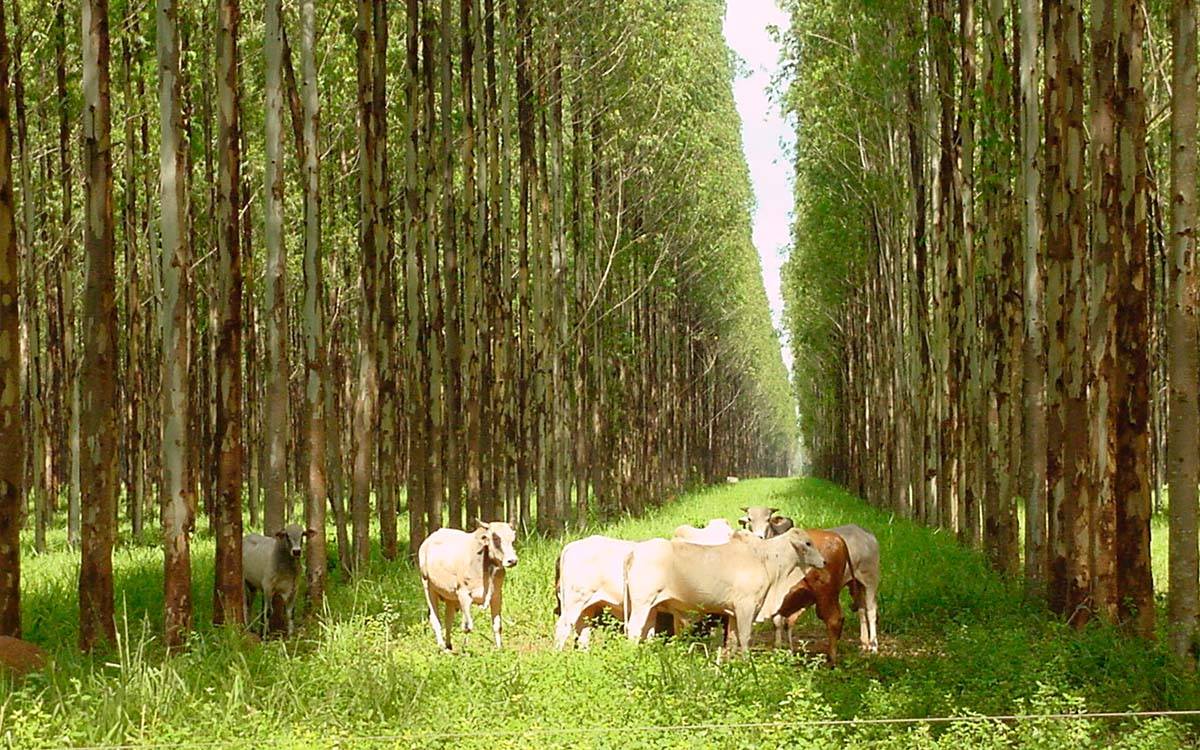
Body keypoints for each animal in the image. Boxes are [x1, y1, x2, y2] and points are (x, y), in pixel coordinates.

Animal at [420, 520, 518, 648]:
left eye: (512, 539)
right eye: (496, 538)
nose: (512, 561)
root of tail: (428, 540)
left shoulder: (497, 596)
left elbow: (497, 626)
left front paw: (499, 648)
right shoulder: (463, 595)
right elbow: (467, 627)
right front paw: (465, 649)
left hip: (450, 597)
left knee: (448, 619)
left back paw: (448, 646)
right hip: (427, 586)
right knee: (435, 619)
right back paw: (442, 646)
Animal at [619, 525, 825, 652]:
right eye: (808, 543)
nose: (824, 561)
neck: (765, 559)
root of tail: (634, 551)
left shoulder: (733, 613)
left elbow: (732, 641)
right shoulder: (746, 607)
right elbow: (744, 637)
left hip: (651, 607)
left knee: (647, 632)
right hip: (642, 603)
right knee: (634, 631)